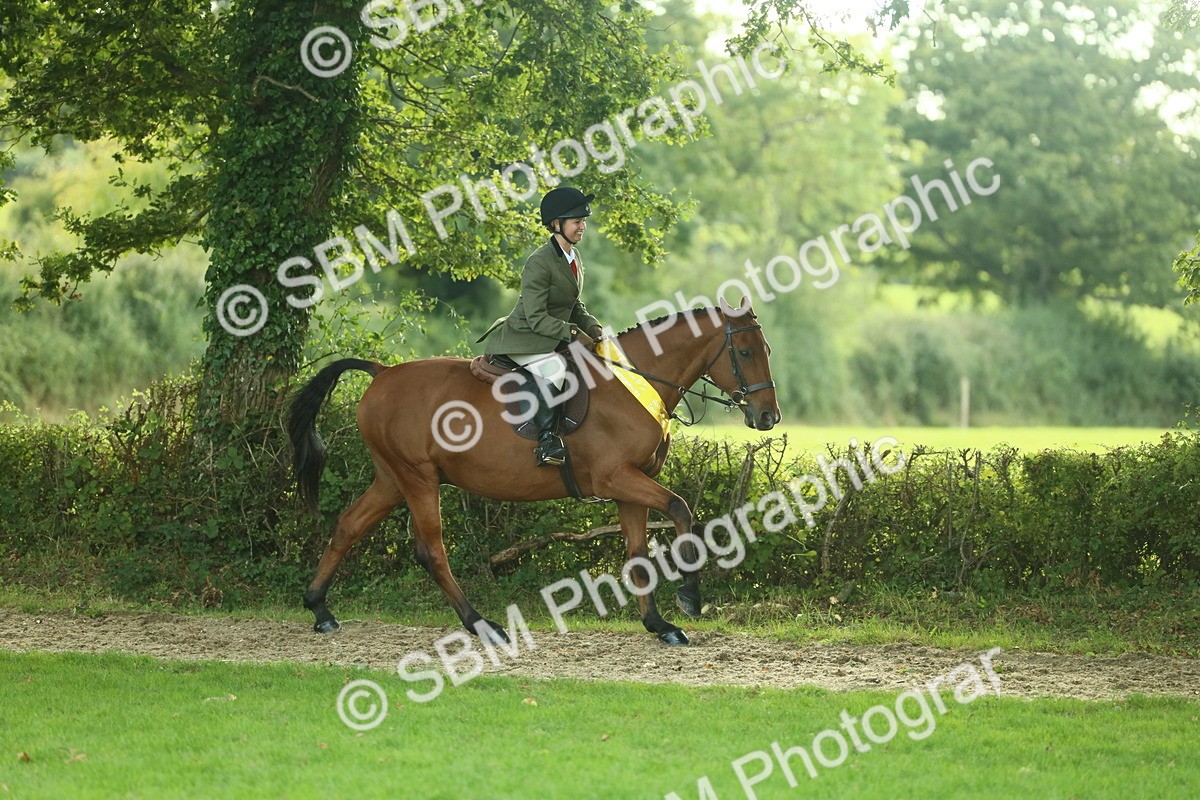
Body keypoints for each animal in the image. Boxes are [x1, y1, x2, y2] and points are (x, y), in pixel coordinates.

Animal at [287, 295, 780, 646]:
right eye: (745, 352)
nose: (768, 417)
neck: (637, 380)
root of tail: (382, 372)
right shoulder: (616, 478)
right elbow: (680, 510)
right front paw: (690, 598)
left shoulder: (629, 485)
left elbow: (638, 555)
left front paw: (659, 625)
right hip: (418, 478)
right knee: (431, 551)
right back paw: (481, 625)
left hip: (392, 478)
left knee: (348, 526)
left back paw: (319, 608)